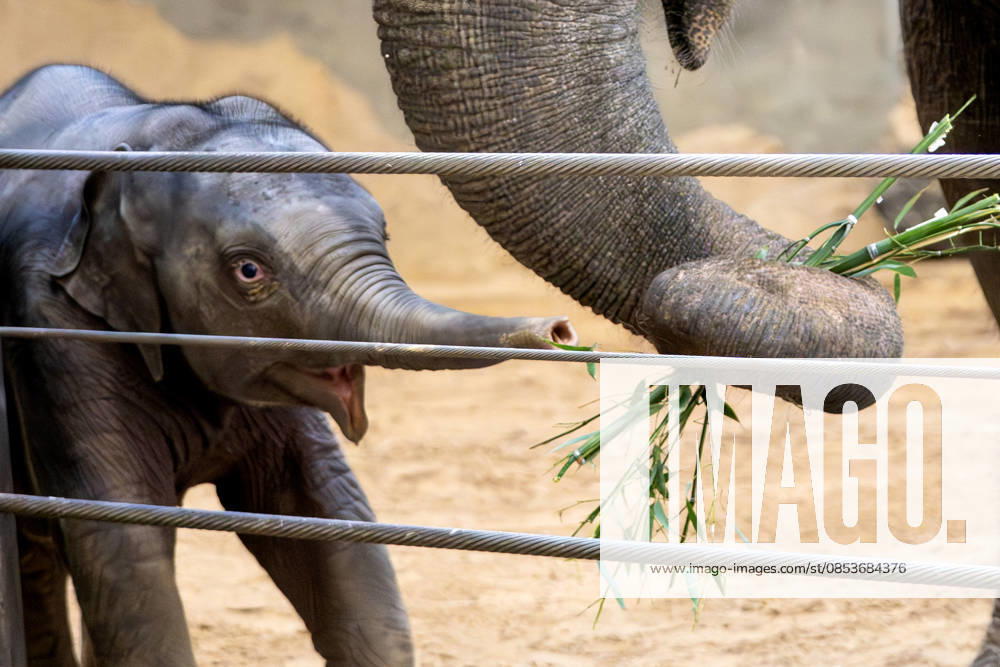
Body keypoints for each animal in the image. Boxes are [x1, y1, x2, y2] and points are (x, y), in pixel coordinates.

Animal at [0, 64, 580, 666]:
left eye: (385, 235)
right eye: (248, 270)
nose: (561, 330)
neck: (152, 134)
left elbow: (330, 519)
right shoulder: (55, 327)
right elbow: (122, 547)